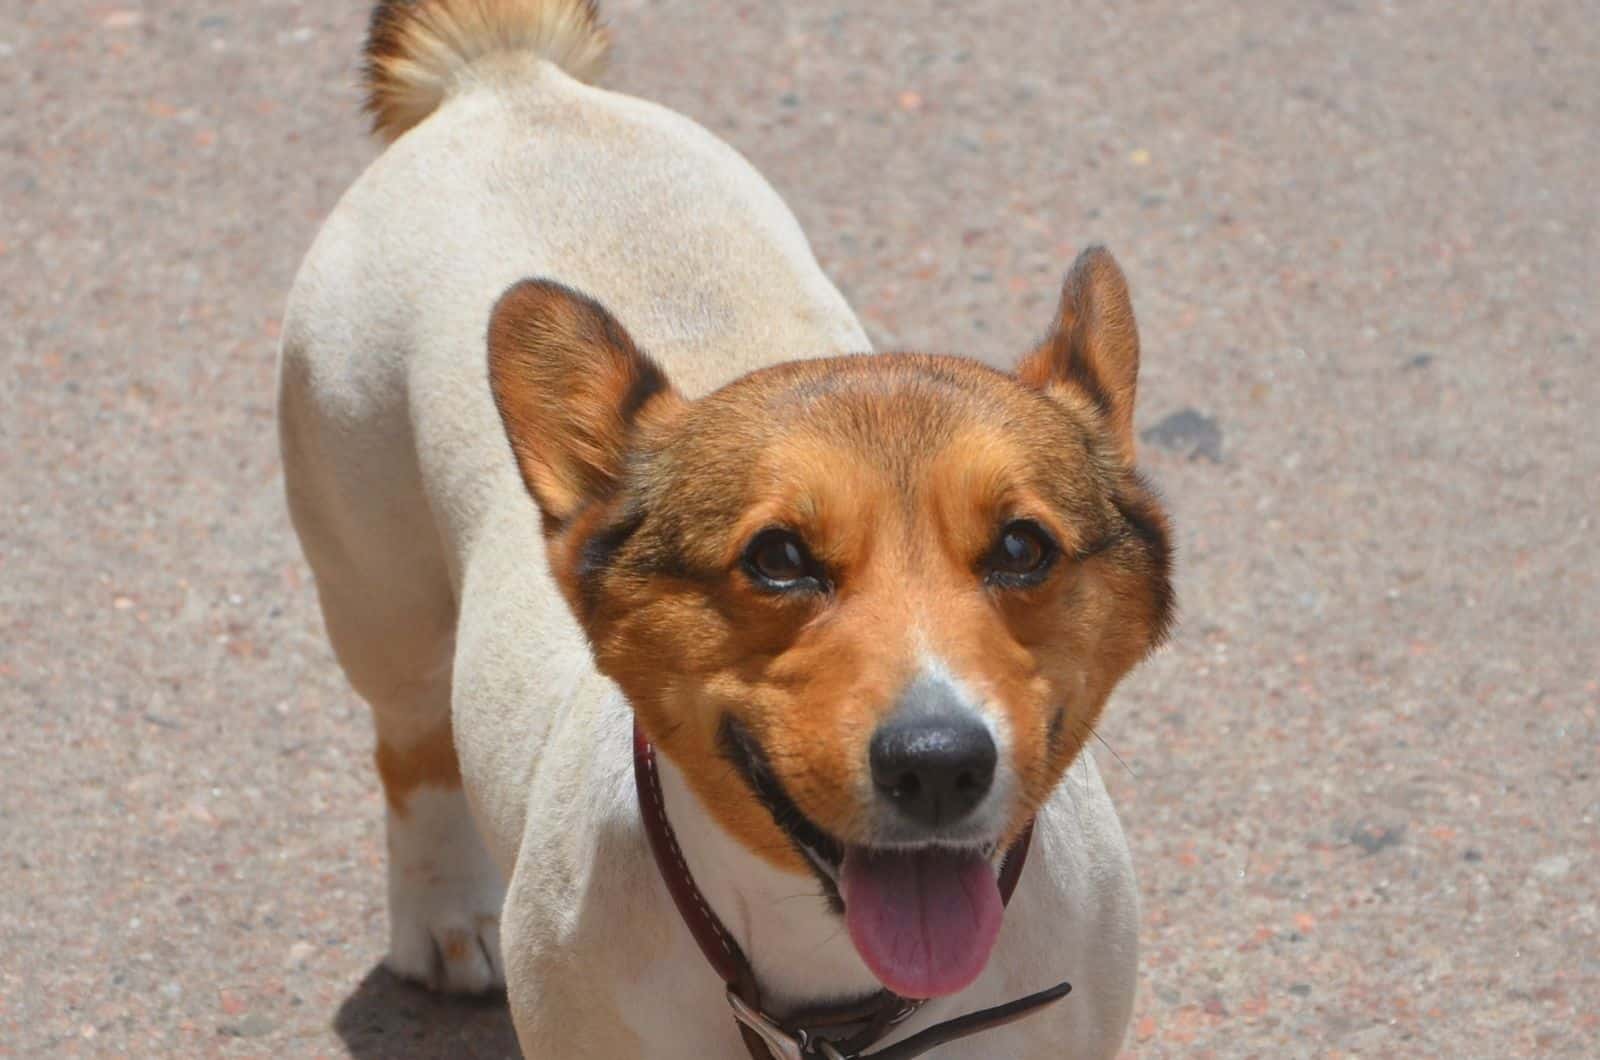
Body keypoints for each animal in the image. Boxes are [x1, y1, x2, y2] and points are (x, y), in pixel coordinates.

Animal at [278, 4, 1177, 1056]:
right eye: (777, 558)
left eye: (1023, 548)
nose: (938, 765)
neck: (832, 985)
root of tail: (505, 79)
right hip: (375, 588)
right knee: (410, 745)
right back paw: (443, 915)